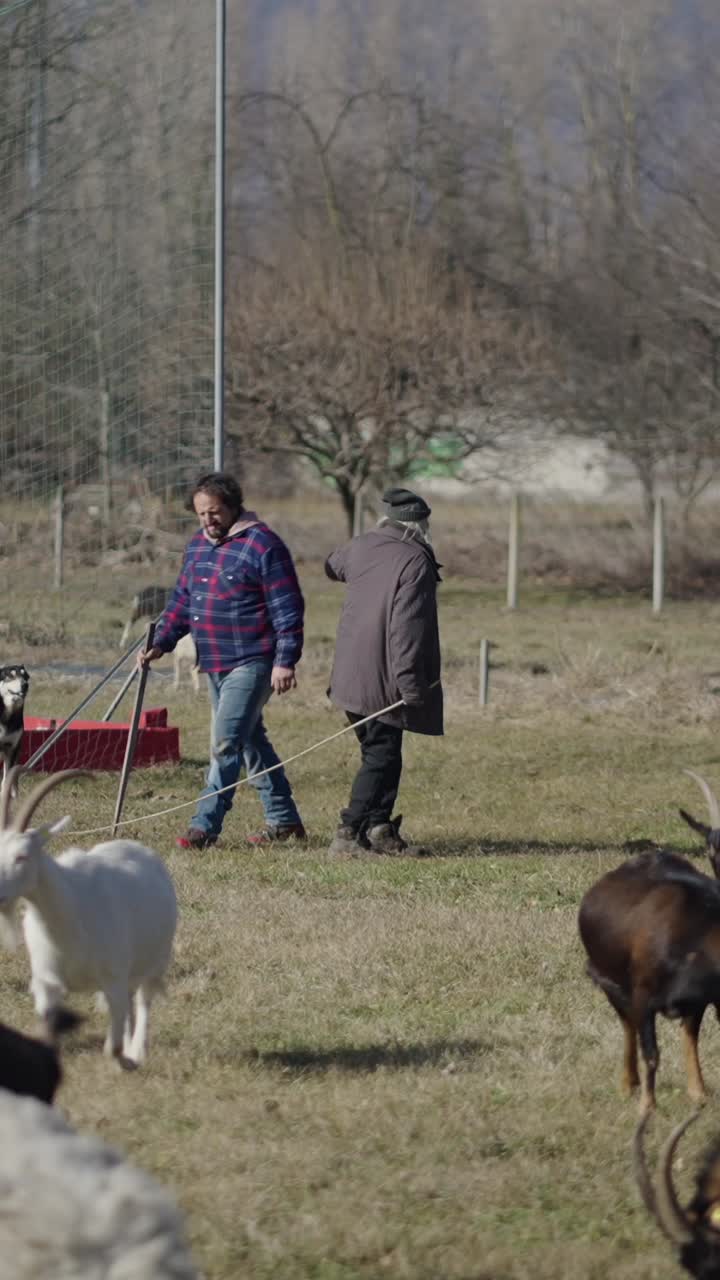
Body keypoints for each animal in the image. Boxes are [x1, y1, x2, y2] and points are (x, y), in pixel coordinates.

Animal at [0, 767, 177, 1066]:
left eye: (21, 856)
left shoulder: (113, 977)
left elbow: (112, 1047)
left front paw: (125, 1060)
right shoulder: (47, 985)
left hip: (155, 961)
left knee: (142, 1002)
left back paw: (137, 1051)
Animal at [578, 845, 720, 1115]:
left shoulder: (699, 1002)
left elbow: (690, 1041)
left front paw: (698, 1094)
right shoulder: (643, 996)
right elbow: (651, 1052)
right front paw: (648, 1105)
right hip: (607, 980)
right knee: (628, 1026)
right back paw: (628, 1083)